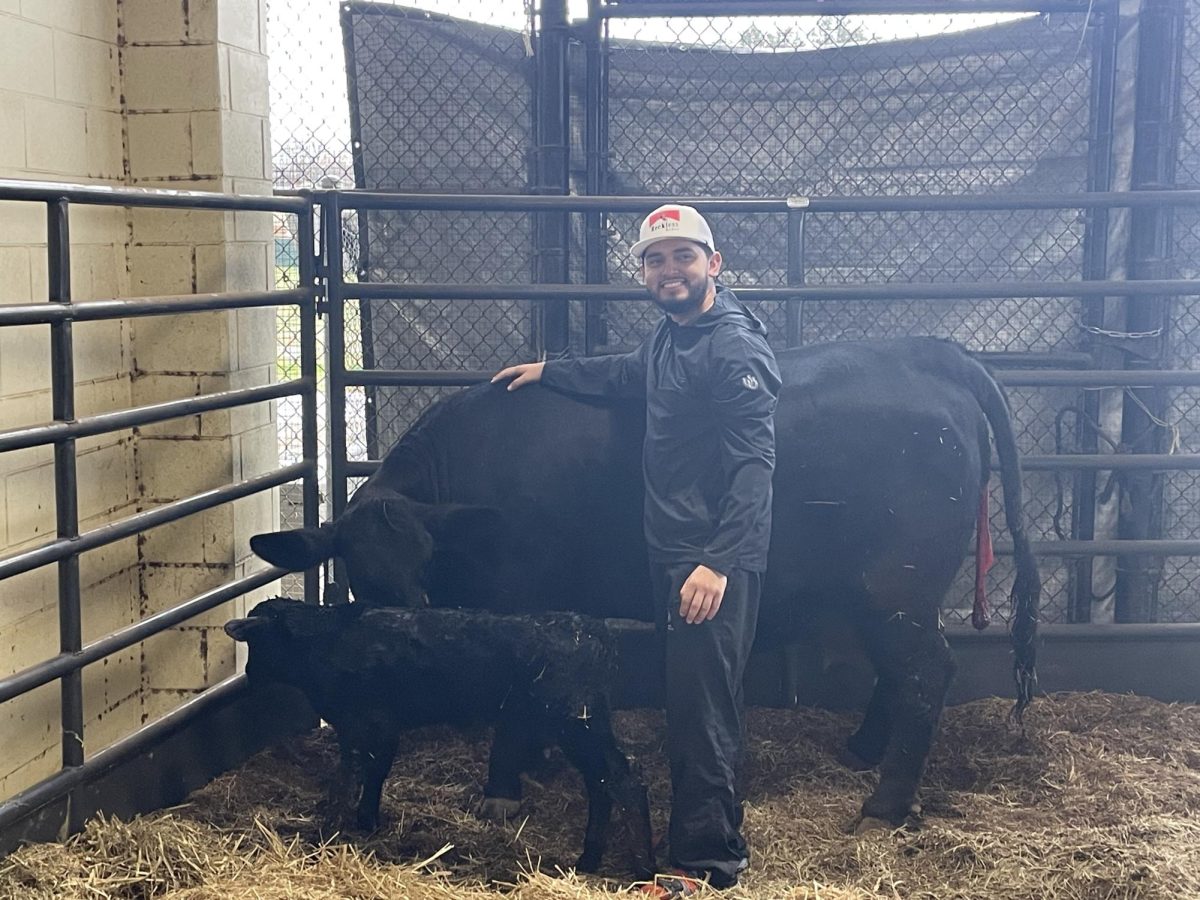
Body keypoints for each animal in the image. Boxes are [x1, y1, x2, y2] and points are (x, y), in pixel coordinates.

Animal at [225, 602, 657, 878]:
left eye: (255, 642)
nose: (248, 674)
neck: (324, 641)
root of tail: (597, 634)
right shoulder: (384, 725)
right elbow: (376, 771)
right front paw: (367, 821)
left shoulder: (360, 721)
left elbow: (347, 777)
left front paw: (330, 829)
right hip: (586, 724)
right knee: (603, 783)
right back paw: (590, 859)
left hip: (577, 723)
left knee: (623, 784)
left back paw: (643, 867)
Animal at [253, 338, 1041, 830]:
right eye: (359, 570)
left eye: (420, 563)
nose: (404, 621)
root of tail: (925, 352)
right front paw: (538, 762)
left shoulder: (521, 600)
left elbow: (512, 703)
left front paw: (503, 790)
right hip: (885, 594)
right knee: (899, 675)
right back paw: (862, 750)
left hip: (894, 589)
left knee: (924, 674)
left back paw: (883, 804)